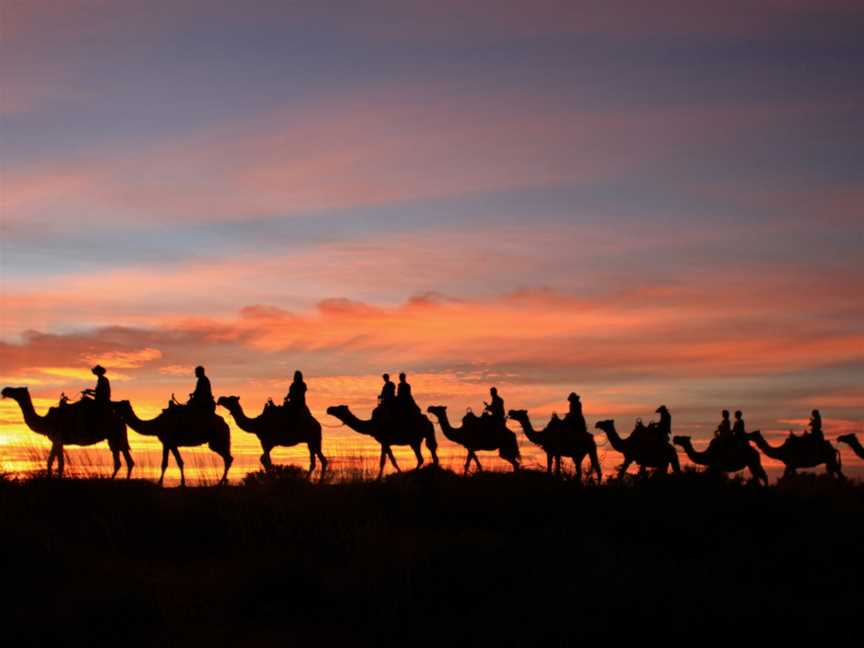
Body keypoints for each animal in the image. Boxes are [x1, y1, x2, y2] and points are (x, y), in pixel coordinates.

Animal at [1, 388, 133, 478]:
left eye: (17, 390)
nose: (5, 390)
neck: (46, 421)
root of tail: (121, 419)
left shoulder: (58, 439)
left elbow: (60, 464)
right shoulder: (56, 441)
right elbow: (50, 461)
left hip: (115, 434)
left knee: (122, 461)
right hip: (115, 437)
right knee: (125, 461)